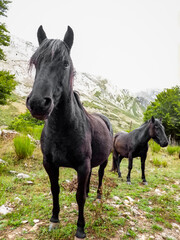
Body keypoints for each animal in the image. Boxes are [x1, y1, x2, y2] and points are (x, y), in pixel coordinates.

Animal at [25, 25, 112, 238]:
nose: (38, 103)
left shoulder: (82, 166)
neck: (63, 131)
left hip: (104, 161)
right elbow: (55, 189)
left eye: (65, 64)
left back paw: (98, 195)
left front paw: (80, 228)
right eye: (35, 61)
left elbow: (79, 197)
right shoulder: (49, 164)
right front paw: (54, 220)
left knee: (100, 175)